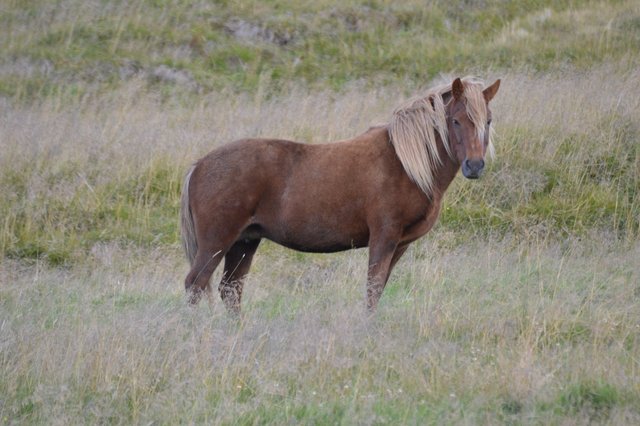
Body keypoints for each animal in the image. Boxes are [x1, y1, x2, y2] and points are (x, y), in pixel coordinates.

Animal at [179, 78, 500, 314]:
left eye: (488, 121)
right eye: (455, 120)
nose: (474, 166)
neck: (404, 163)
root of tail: (200, 165)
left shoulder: (400, 245)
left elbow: (379, 289)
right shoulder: (383, 237)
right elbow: (372, 291)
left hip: (245, 242)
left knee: (230, 290)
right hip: (217, 242)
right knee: (196, 284)